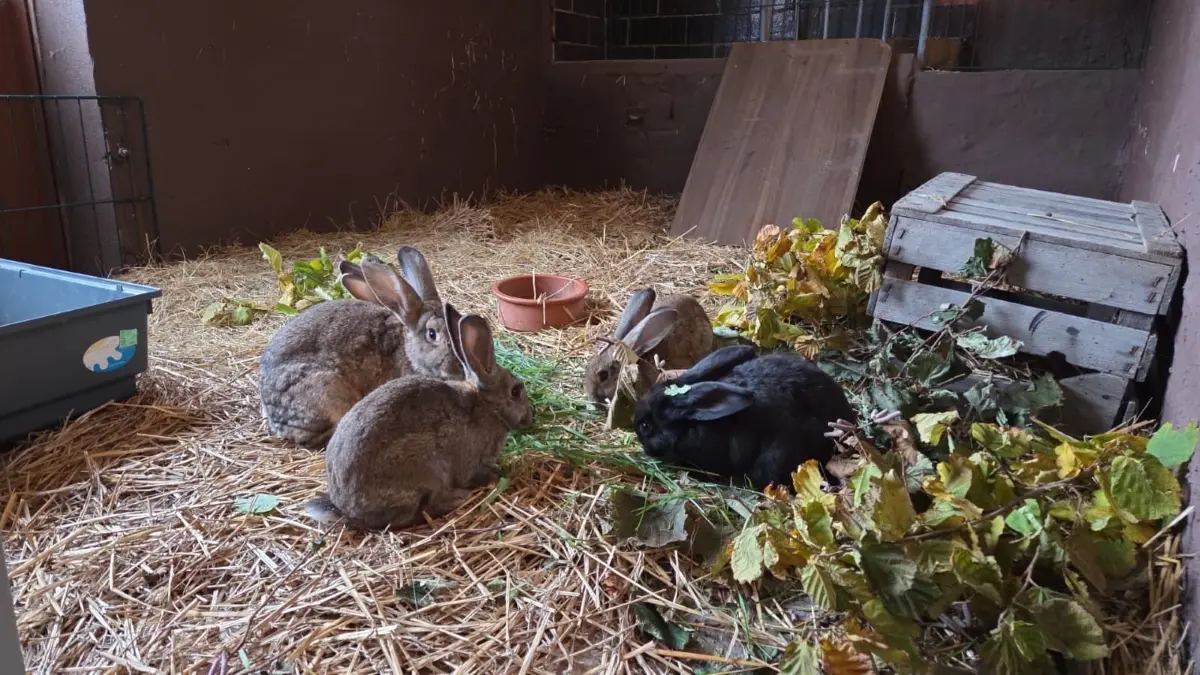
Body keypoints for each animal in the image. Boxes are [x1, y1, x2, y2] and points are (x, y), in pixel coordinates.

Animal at [304, 306, 534, 530]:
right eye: (515, 392)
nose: (529, 417)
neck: (486, 405)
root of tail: (348, 510)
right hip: (429, 470)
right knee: (418, 512)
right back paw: (458, 498)